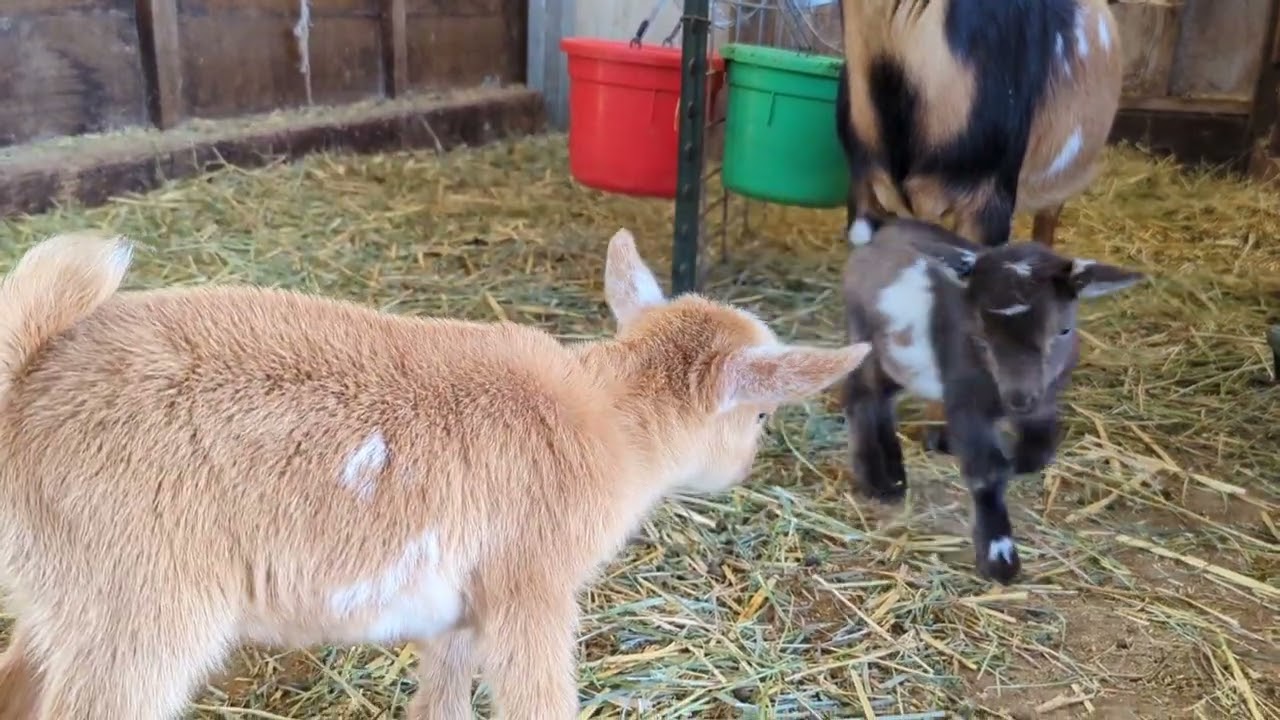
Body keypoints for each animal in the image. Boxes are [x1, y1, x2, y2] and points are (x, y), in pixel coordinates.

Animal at [0, 229, 869, 719]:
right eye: (761, 416)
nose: (748, 465)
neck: (607, 418)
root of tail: (31, 379)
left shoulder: (459, 603)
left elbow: (442, 700)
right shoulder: (531, 588)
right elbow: (538, 702)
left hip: (65, 599)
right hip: (140, 609)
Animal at [840, 217, 1144, 583]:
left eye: (1064, 330)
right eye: (980, 335)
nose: (1019, 400)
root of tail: (876, 235)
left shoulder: (1045, 399)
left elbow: (1041, 448)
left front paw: (1023, 462)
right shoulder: (965, 399)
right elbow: (987, 470)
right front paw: (999, 557)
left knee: (881, 399)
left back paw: (895, 476)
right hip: (863, 335)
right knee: (860, 395)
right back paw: (877, 480)